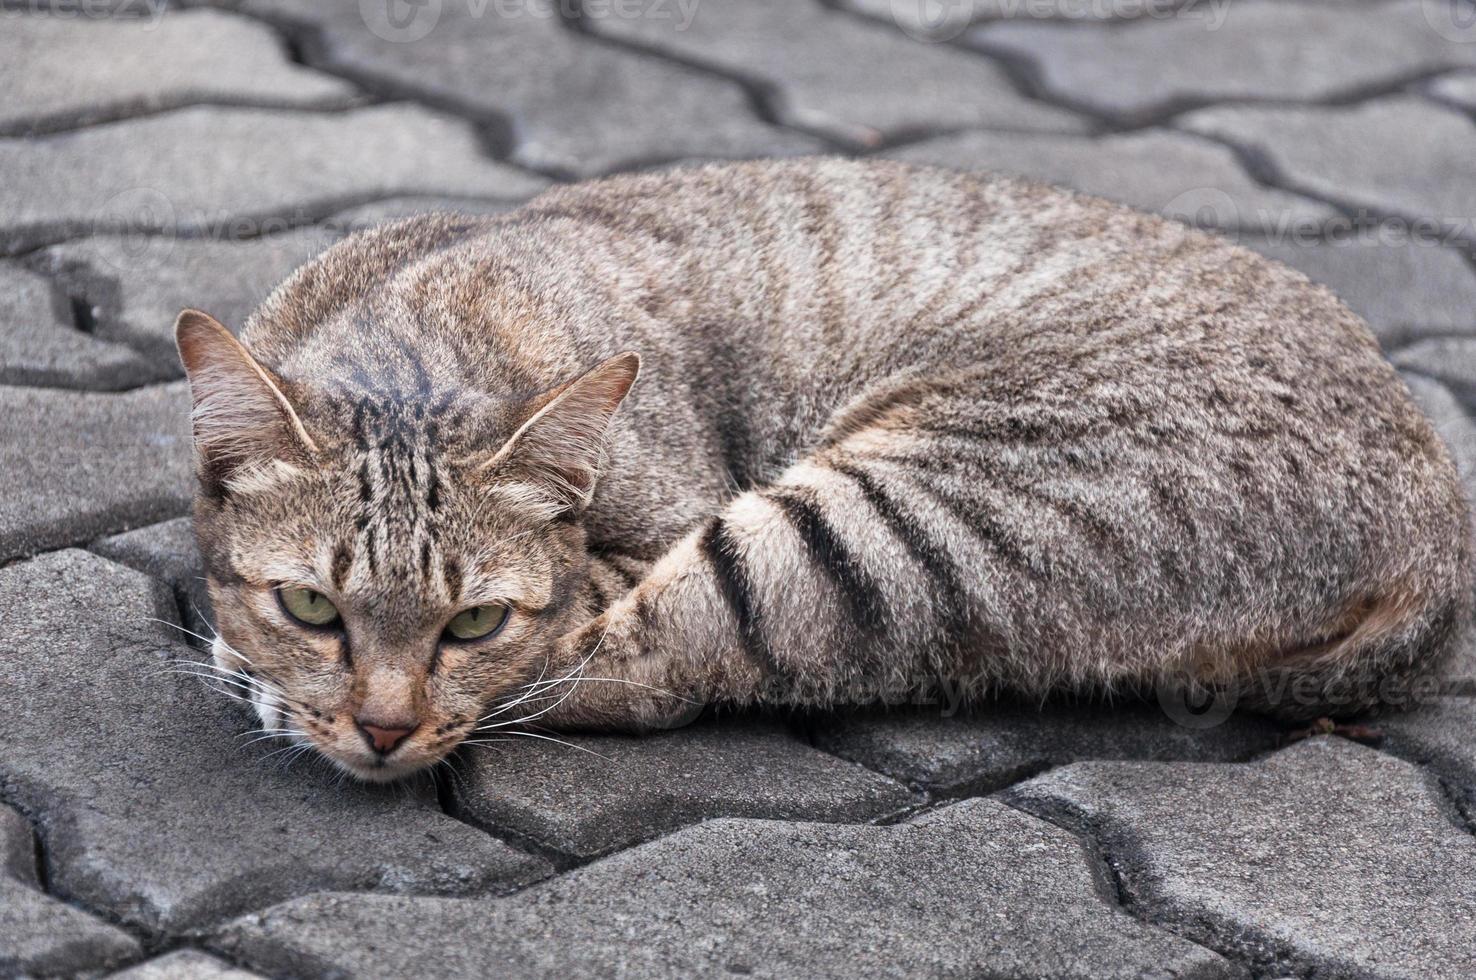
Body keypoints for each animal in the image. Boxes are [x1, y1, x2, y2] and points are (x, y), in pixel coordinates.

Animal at [175, 154, 1476, 779]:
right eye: (314, 602)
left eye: (473, 621)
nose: (384, 728)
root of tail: (1442, 540)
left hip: (911, 508)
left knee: (648, 663)